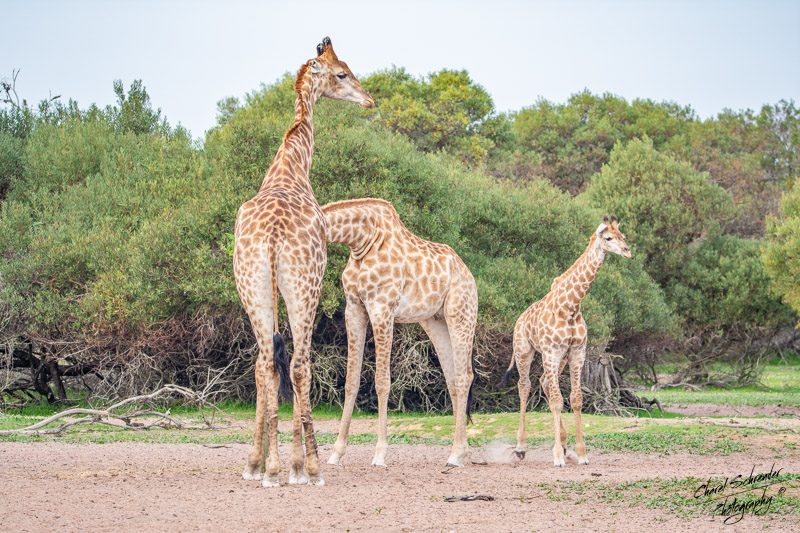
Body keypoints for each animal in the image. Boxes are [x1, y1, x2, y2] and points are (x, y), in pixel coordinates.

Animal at [234, 37, 374, 488]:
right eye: (342, 73)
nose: (369, 100)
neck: (291, 165)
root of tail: (273, 238)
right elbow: (296, 366)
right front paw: (298, 467)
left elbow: (266, 369)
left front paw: (260, 464)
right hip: (304, 288)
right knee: (299, 365)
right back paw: (306, 468)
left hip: (252, 286)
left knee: (265, 363)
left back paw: (266, 467)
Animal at [321, 198, 478, 467]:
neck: (361, 242)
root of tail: (468, 274)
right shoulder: (354, 309)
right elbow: (351, 380)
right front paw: (336, 453)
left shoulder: (382, 307)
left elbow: (382, 381)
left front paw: (379, 454)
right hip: (435, 321)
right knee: (452, 378)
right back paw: (460, 452)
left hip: (461, 315)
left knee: (464, 375)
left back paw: (456, 455)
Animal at [501, 215, 631, 467]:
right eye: (609, 238)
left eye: (623, 236)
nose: (628, 251)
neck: (571, 306)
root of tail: (519, 319)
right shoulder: (552, 351)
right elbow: (557, 401)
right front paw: (558, 457)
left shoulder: (577, 352)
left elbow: (575, 399)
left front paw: (581, 453)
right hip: (524, 350)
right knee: (525, 385)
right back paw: (521, 447)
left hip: (558, 359)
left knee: (543, 381)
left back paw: (562, 442)